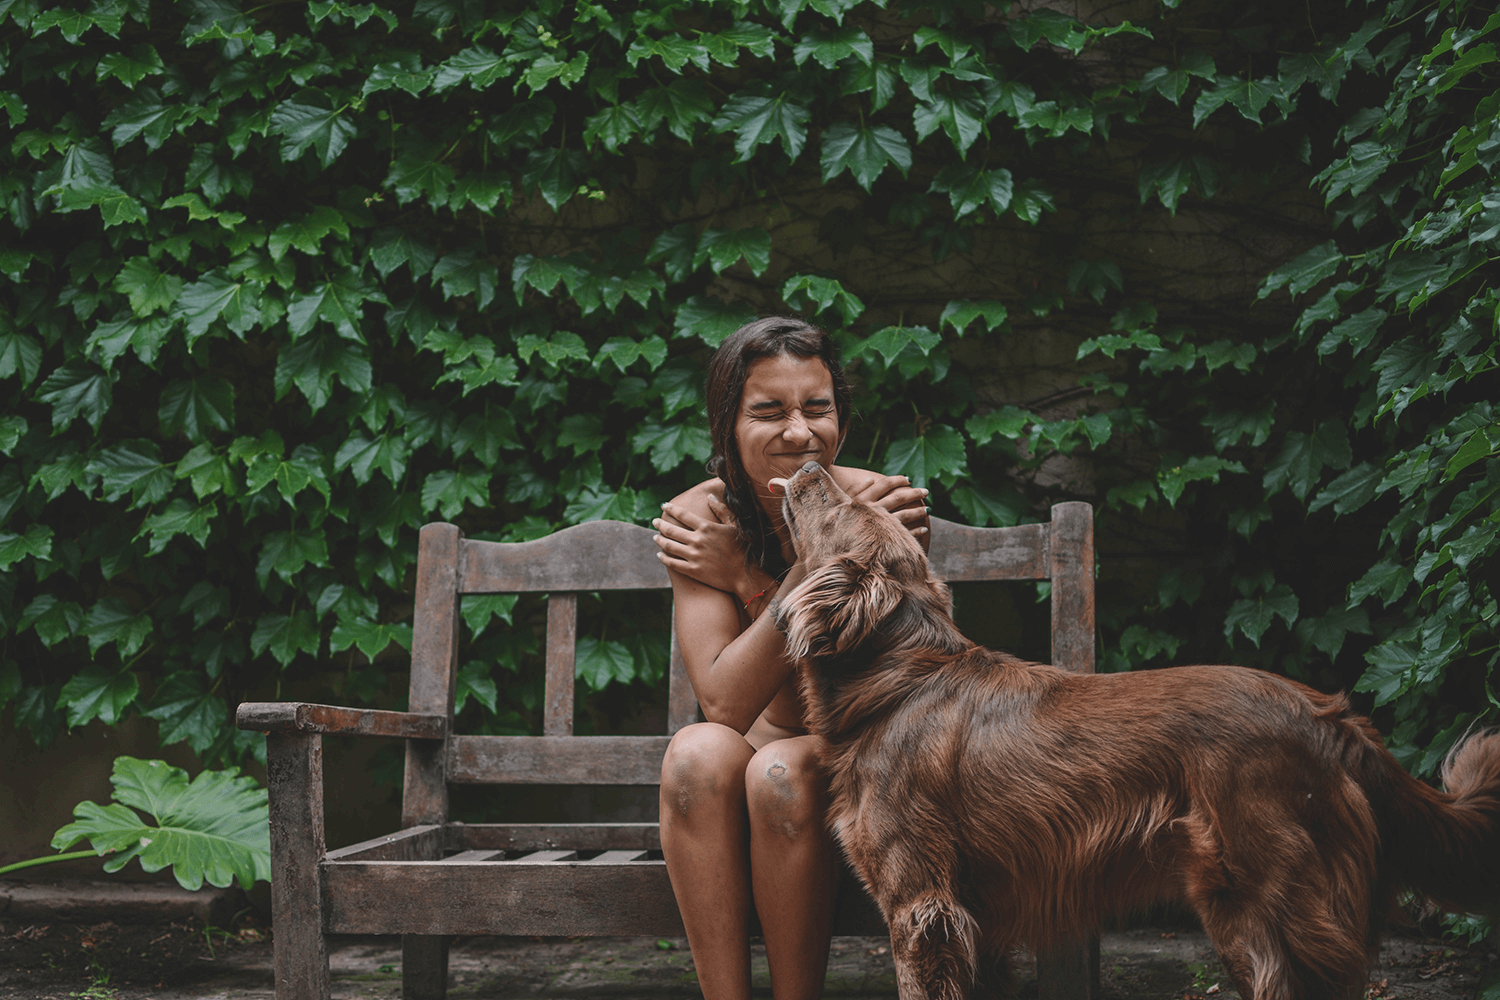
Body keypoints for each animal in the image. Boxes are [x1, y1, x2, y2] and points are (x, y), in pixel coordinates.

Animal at [774, 464, 1500, 1000]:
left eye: (840, 504)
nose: (807, 464)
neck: (899, 680)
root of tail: (1329, 714)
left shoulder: (921, 906)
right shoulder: (974, 919)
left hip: (1269, 902)